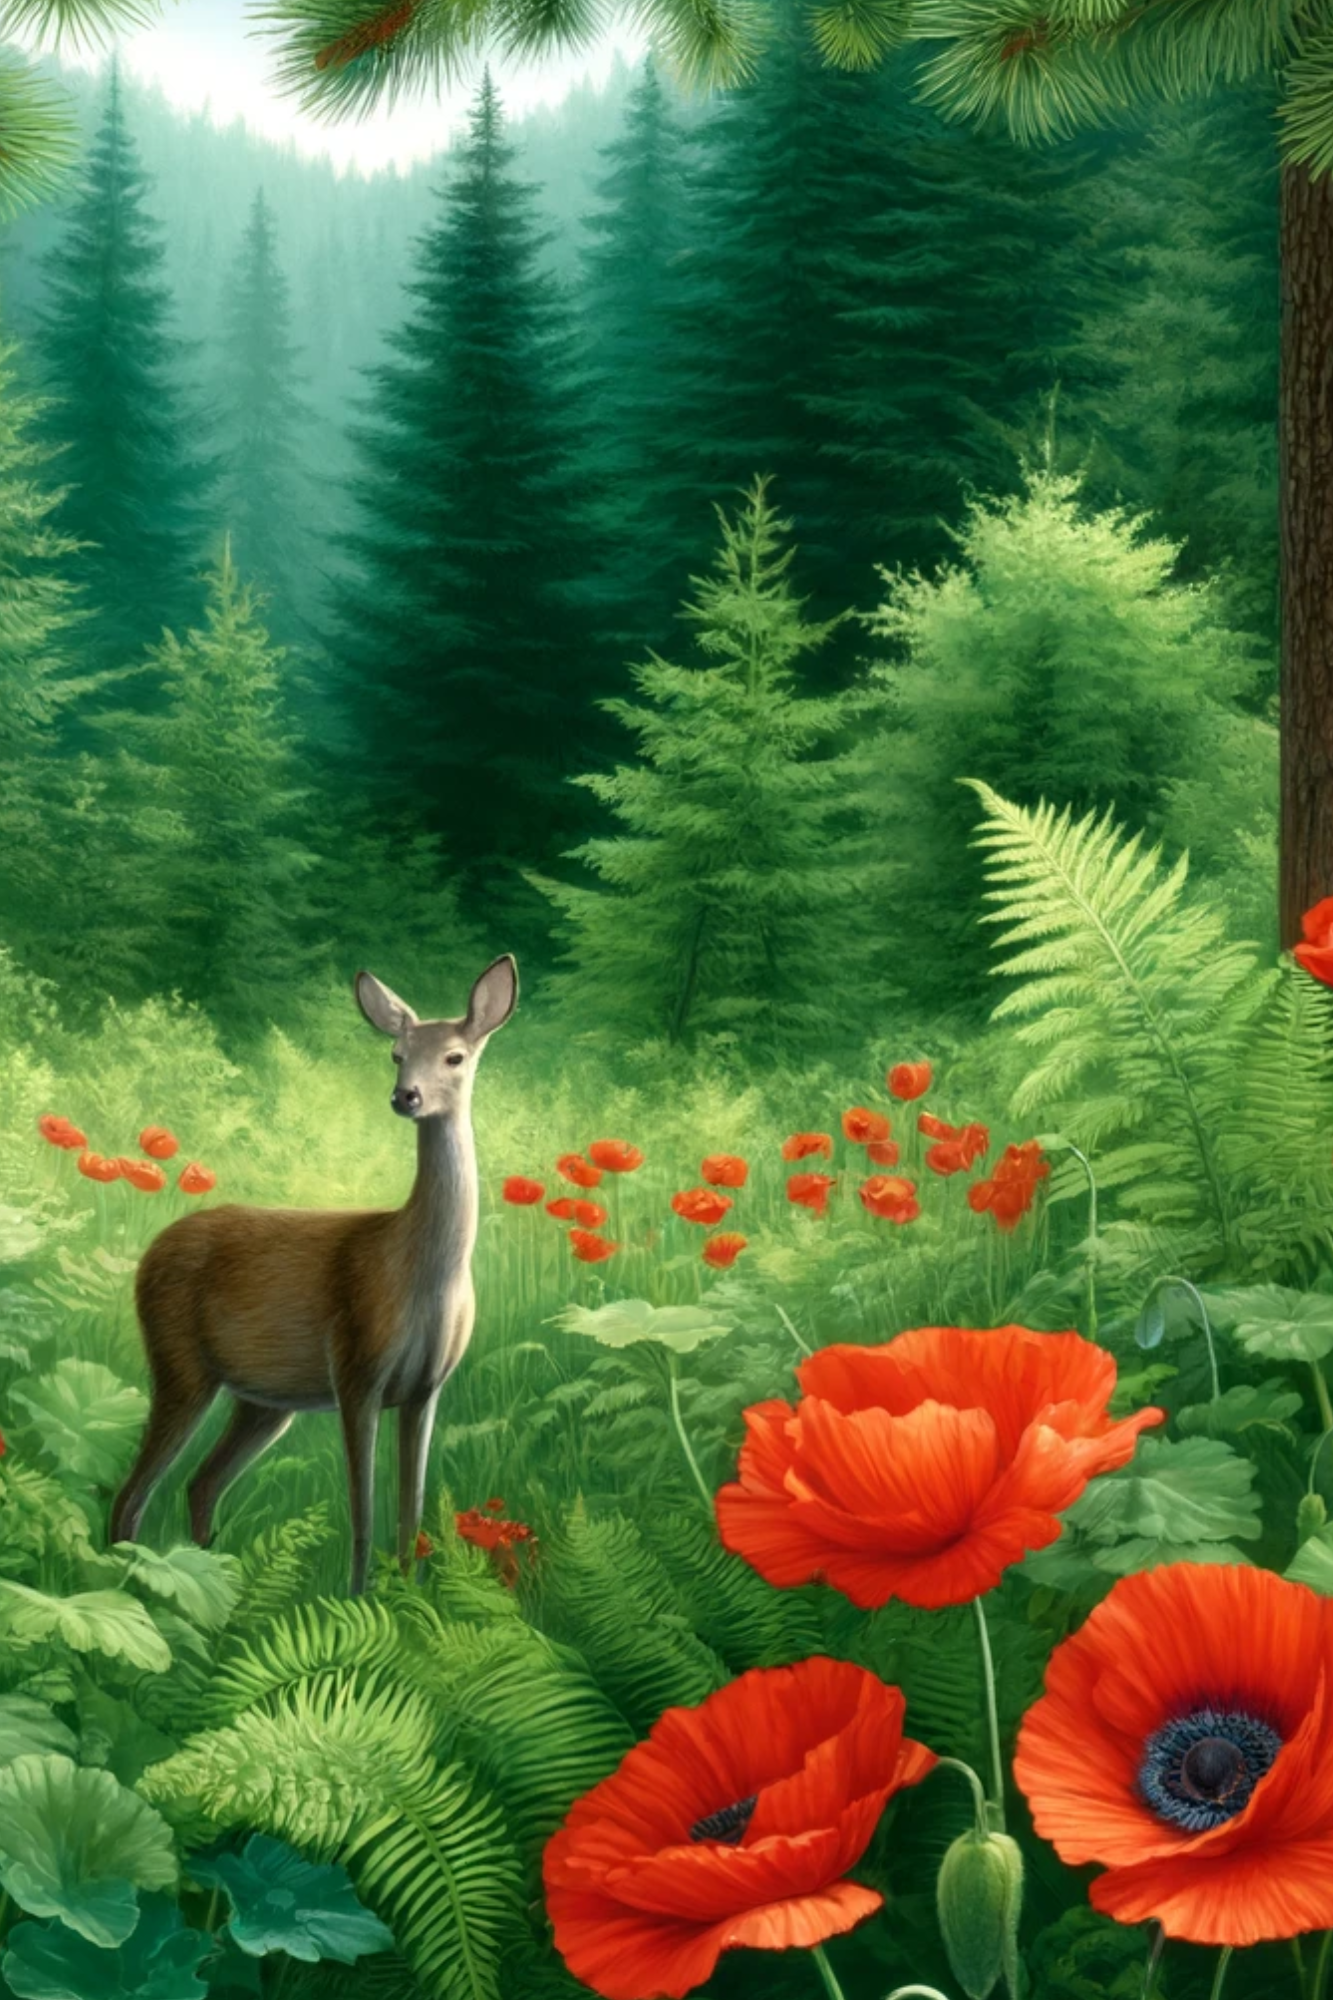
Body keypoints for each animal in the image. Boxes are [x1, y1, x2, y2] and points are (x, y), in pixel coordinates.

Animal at [109, 955, 518, 1595]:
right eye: (396, 1053)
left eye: (455, 1056)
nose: (406, 1095)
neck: (422, 1275)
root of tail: (151, 1251)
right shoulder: (355, 1369)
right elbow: (362, 1510)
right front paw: (356, 1596)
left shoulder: (427, 1389)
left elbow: (411, 1510)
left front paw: (407, 1595)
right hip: (179, 1362)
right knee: (132, 1493)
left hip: (263, 1401)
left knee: (199, 1483)